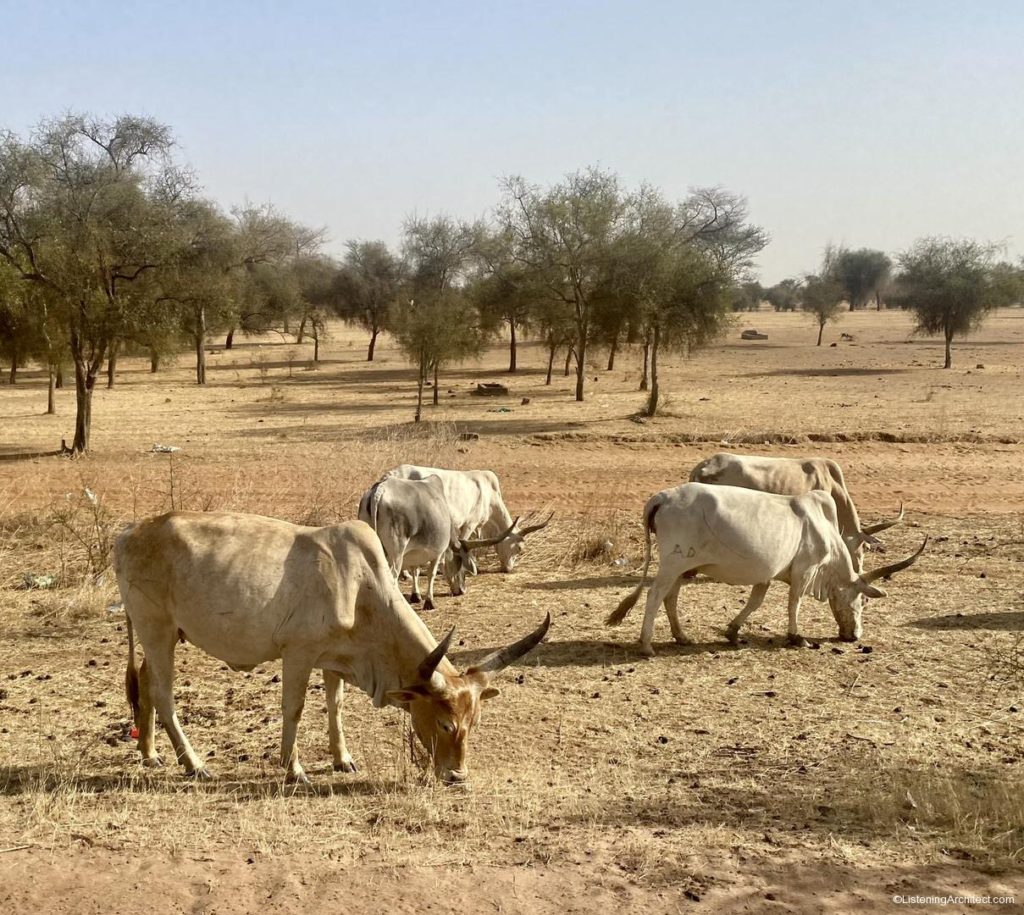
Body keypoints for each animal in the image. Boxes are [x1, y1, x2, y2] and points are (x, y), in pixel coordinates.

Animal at [114, 511, 550, 786]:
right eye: (444, 723)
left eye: (473, 722)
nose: (456, 777)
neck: (359, 584)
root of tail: (130, 533)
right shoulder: (298, 654)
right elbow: (294, 708)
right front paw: (294, 769)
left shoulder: (334, 660)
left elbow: (335, 705)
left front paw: (342, 759)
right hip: (156, 630)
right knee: (163, 693)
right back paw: (193, 764)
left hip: (165, 635)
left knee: (145, 682)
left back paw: (149, 753)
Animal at [357, 475, 518, 610]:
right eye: (459, 560)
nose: (462, 590)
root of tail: (379, 491)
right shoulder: (439, 551)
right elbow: (432, 573)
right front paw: (429, 602)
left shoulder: (415, 551)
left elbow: (415, 570)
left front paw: (416, 596)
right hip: (396, 553)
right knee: (392, 577)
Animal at [606, 483, 925, 657]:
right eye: (864, 600)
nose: (855, 635)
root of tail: (663, 496)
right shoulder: (805, 569)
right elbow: (794, 602)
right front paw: (796, 637)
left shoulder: (766, 575)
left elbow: (755, 602)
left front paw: (733, 631)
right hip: (673, 563)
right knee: (654, 596)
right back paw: (646, 645)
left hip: (683, 566)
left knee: (670, 597)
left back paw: (681, 636)